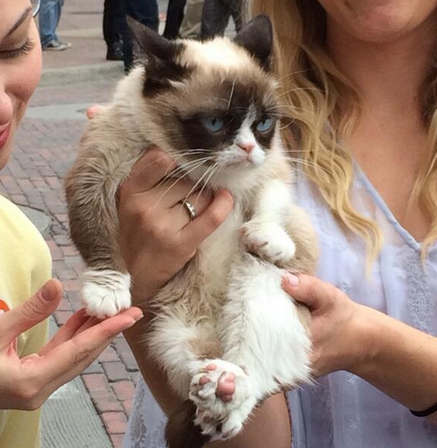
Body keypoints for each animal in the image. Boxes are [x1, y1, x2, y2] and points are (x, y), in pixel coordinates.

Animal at [65, 15, 318, 448]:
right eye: (215, 123)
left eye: (263, 124)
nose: (248, 149)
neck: (203, 175)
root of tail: (213, 331)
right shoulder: (95, 173)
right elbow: (97, 235)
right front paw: (107, 292)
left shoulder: (271, 169)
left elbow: (271, 200)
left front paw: (267, 238)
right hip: (168, 334)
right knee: (195, 373)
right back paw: (216, 391)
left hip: (257, 288)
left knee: (258, 372)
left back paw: (228, 389)